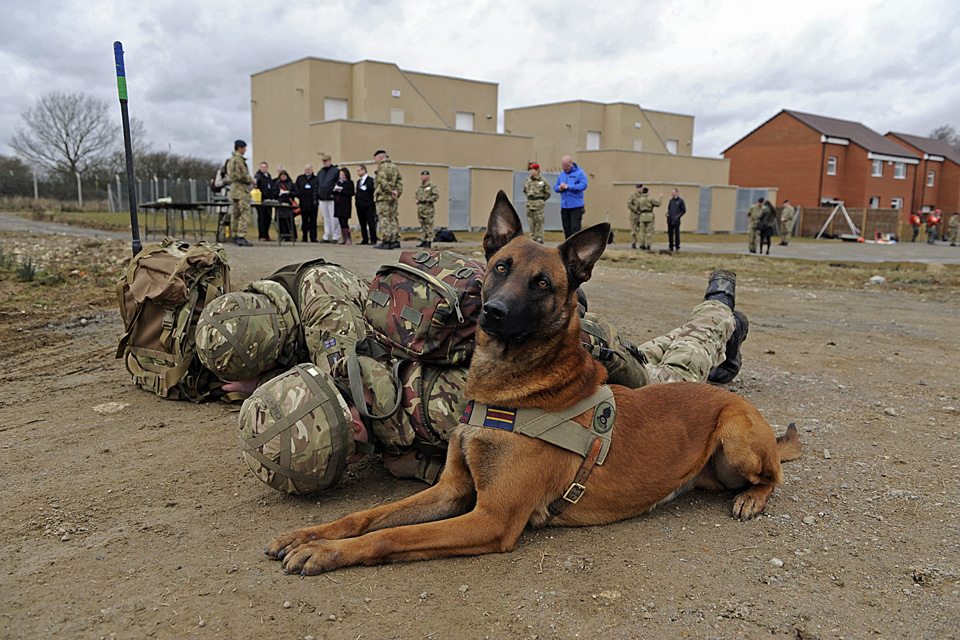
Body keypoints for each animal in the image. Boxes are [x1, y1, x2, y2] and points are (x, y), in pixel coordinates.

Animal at [264, 190, 804, 576]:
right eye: (500, 267)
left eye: (542, 283)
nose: (493, 312)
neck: (510, 388)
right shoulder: (451, 491)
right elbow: (367, 517)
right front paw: (310, 535)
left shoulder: (491, 518)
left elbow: (389, 536)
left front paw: (326, 552)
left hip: (737, 440)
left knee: (774, 474)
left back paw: (752, 497)